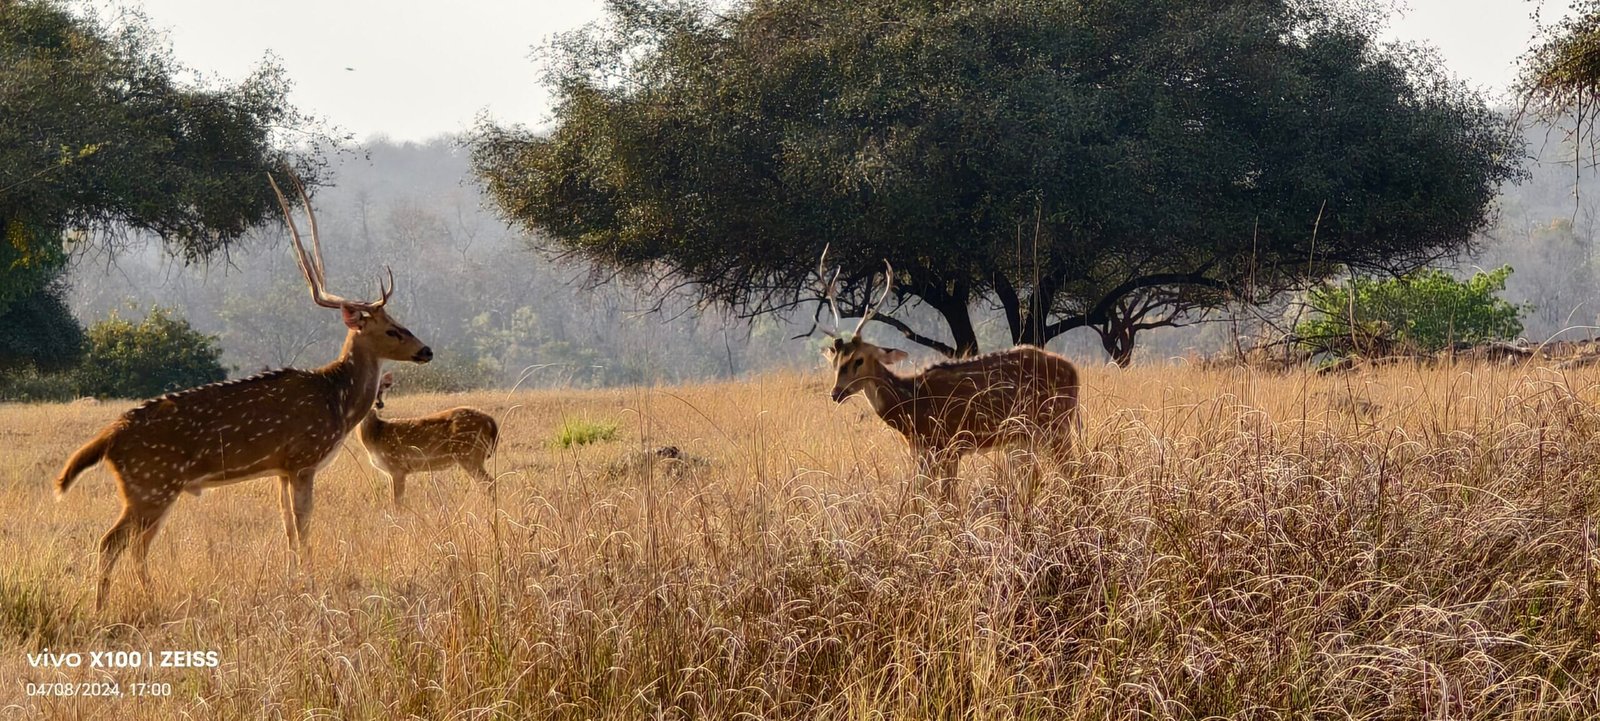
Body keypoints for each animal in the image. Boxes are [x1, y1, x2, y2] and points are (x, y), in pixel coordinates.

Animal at [53, 174, 433, 611]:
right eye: (392, 329)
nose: (426, 350)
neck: (335, 401)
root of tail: (109, 438)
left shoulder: (281, 468)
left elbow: (288, 527)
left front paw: (293, 577)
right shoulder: (303, 458)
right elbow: (304, 524)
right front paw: (310, 579)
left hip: (148, 489)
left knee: (133, 545)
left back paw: (142, 598)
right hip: (151, 484)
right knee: (113, 541)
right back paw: (106, 605)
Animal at [357, 372, 499, 505]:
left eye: (381, 389)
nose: (379, 404)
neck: (376, 435)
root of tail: (490, 421)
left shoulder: (397, 466)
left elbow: (397, 503)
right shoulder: (391, 471)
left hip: (469, 454)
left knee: (489, 482)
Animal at [815, 251, 1082, 500]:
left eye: (859, 359)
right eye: (835, 361)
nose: (836, 393)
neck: (911, 405)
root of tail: (1074, 372)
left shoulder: (948, 442)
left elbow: (946, 497)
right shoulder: (923, 449)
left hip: (1055, 423)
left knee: (1075, 471)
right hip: (1029, 436)